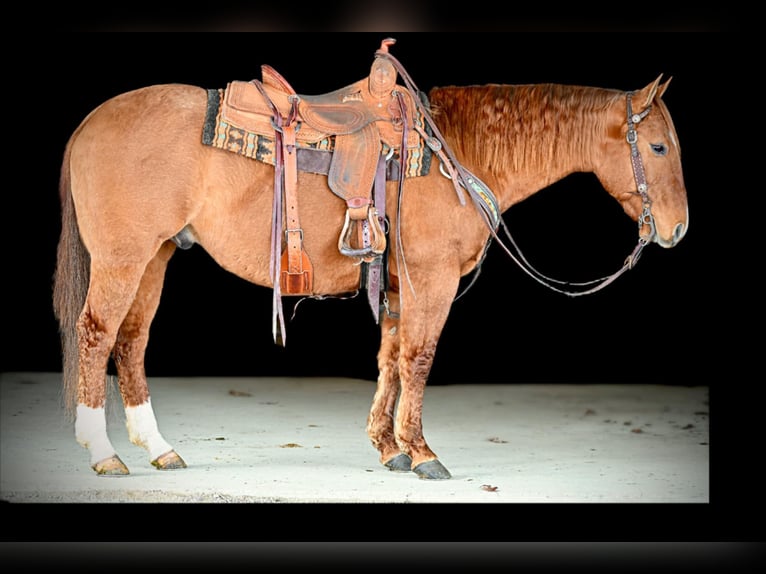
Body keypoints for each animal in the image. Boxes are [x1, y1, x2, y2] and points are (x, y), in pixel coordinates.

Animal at [52, 39, 688, 482]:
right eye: (657, 147)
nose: (678, 229)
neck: (457, 151)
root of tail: (89, 123)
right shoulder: (431, 281)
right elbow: (419, 359)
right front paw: (423, 452)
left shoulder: (400, 286)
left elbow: (390, 361)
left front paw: (389, 448)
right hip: (123, 258)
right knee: (96, 333)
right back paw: (103, 452)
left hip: (155, 256)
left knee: (131, 340)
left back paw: (159, 449)